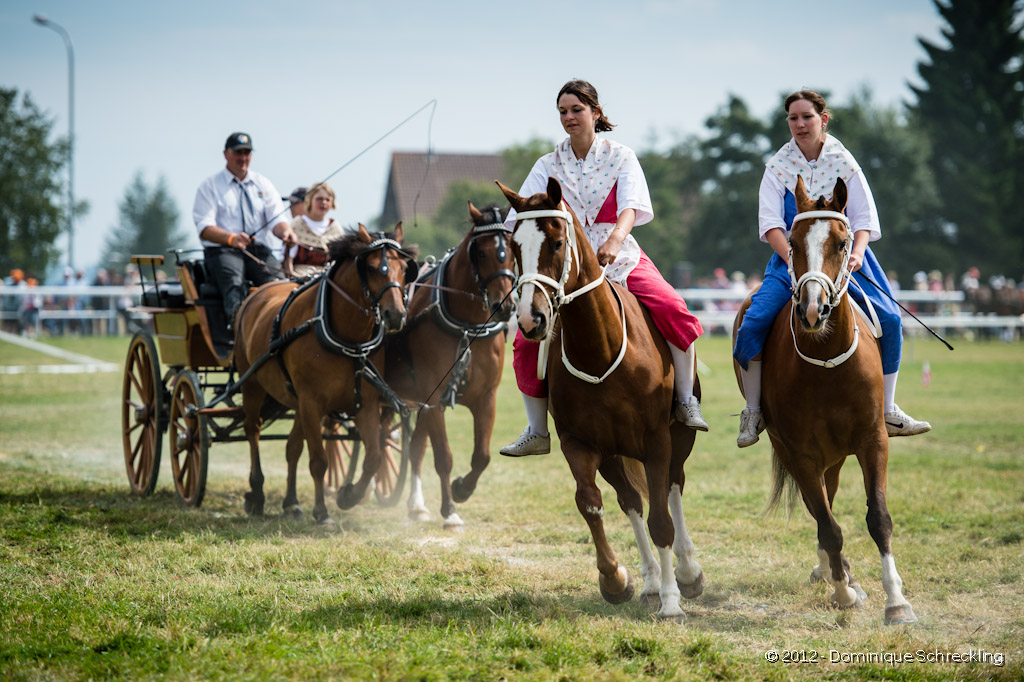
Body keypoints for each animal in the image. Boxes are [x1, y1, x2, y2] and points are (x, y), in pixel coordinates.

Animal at [234, 225, 415, 522]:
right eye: (373, 268)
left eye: (404, 267)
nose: (396, 315)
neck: (347, 338)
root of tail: (256, 292)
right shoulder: (311, 402)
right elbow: (319, 461)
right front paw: (322, 512)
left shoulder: (365, 403)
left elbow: (374, 457)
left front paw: (348, 495)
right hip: (252, 384)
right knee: (253, 431)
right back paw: (257, 493)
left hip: (296, 401)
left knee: (292, 447)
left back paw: (291, 502)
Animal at [382, 199, 516, 528]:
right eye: (481, 252)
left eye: (513, 248)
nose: (504, 305)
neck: (467, 326)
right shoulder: (434, 400)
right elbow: (443, 457)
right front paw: (450, 510)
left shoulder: (486, 398)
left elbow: (482, 456)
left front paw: (461, 489)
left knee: (416, 448)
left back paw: (416, 505)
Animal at [495, 176, 704, 622]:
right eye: (515, 246)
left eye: (557, 242)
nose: (530, 319)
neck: (602, 349)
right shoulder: (582, 444)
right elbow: (591, 504)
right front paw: (615, 579)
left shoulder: (657, 442)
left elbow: (662, 520)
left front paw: (672, 601)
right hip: (613, 454)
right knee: (631, 501)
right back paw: (649, 581)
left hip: (678, 441)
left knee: (673, 488)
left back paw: (687, 572)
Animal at [733, 178, 917, 622]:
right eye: (792, 243)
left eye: (841, 241)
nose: (813, 309)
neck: (827, 363)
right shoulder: (800, 452)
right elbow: (827, 524)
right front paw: (842, 592)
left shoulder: (872, 440)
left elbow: (878, 517)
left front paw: (896, 601)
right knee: (820, 509)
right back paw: (836, 574)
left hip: (835, 454)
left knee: (828, 497)